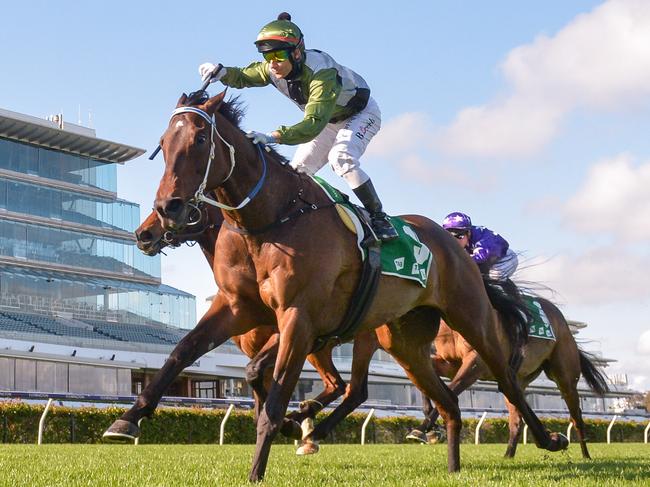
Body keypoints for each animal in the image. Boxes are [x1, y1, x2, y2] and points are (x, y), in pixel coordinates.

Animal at [104, 92, 564, 484]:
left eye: (200, 139)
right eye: (163, 144)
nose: (159, 217)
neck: (272, 219)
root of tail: (451, 242)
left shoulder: (298, 318)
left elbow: (274, 396)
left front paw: (262, 463)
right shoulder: (239, 308)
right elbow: (183, 354)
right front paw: (127, 420)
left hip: (467, 317)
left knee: (504, 381)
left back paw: (550, 438)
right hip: (405, 341)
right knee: (443, 400)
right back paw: (450, 463)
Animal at [404, 296, 608, 460]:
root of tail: (563, 321)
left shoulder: (477, 361)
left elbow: (453, 389)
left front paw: (422, 429)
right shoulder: (450, 363)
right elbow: (427, 381)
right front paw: (430, 429)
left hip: (565, 378)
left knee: (576, 417)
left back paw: (586, 455)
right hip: (519, 379)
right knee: (516, 420)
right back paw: (509, 455)